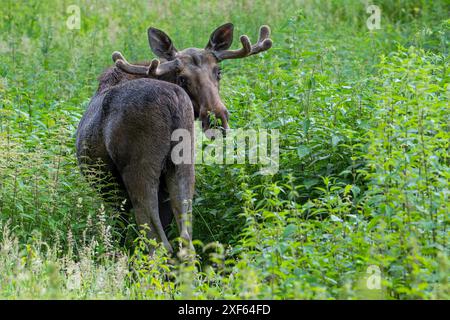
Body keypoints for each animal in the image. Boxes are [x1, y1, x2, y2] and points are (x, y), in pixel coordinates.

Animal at [75, 23, 272, 252]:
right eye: (183, 78)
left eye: (218, 71)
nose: (217, 118)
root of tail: (173, 103)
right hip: (183, 164)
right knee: (186, 240)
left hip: (139, 169)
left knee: (158, 242)